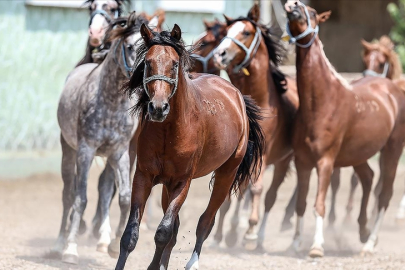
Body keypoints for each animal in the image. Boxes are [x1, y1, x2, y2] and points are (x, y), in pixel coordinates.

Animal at [114, 23, 266, 270]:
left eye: (175, 64)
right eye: (148, 62)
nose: (158, 108)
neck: (170, 130)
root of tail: (236, 95)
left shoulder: (182, 182)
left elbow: (163, 232)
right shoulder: (144, 177)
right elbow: (132, 234)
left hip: (226, 174)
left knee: (206, 221)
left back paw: (192, 263)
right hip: (167, 185)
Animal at [211, 4, 296, 249]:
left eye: (246, 32)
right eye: (225, 31)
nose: (219, 54)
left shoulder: (264, 154)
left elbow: (257, 189)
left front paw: (250, 231)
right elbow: (232, 193)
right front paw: (220, 235)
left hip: (283, 161)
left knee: (269, 196)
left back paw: (257, 236)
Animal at [286, 0, 404, 258]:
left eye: (313, 13)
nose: (293, 6)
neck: (321, 102)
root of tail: (393, 89)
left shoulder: (326, 161)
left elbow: (319, 204)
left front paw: (316, 246)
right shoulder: (302, 162)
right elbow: (301, 203)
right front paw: (295, 243)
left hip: (392, 150)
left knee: (384, 195)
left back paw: (370, 243)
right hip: (358, 154)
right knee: (368, 178)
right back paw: (362, 231)